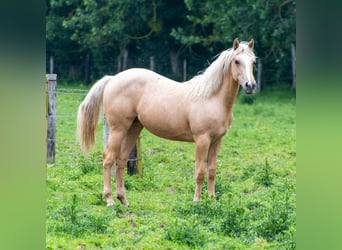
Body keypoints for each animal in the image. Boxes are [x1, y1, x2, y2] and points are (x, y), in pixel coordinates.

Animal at [77, 38, 254, 206]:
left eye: (253, 61)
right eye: (237, 61)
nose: (250, 85)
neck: (211, 97)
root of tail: (112, 79)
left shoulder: (217, 141)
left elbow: (211, 171)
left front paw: (211, 200)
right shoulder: (202, 140)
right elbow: (200, 172)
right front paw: (197, 201)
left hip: (133, 128)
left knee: (120, 160)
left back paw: (123, 200)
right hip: (118, 129)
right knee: (108, 159)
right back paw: (109, 200)